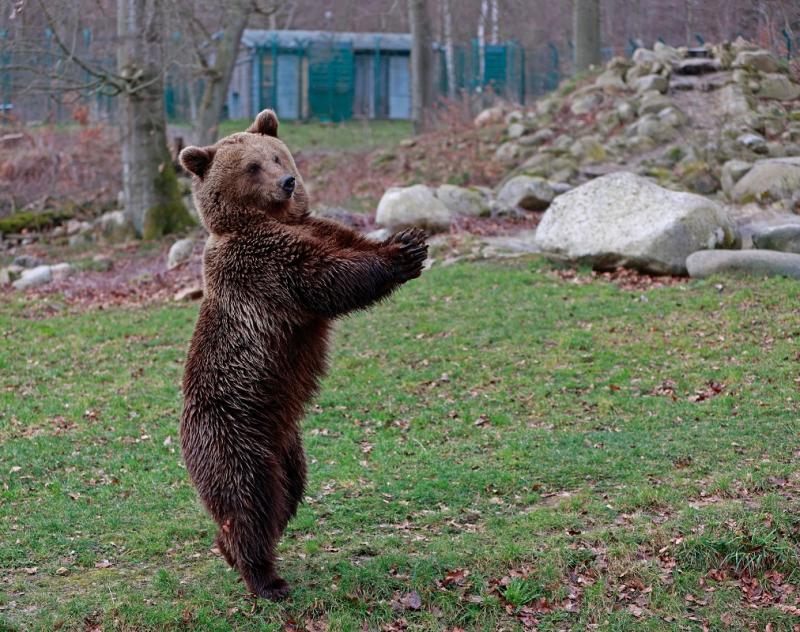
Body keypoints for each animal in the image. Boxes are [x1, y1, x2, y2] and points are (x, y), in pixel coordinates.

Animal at [175, 110, 424, 604]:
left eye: (277, 155)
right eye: (252, 167)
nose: (288, 182)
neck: (267, 220)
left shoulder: (315, 226)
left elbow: (348, 245)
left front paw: (409, 239)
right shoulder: (263, 266)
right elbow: (326, 279)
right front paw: (403, 254)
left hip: (287, 449)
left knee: (284, 498)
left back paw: (233, 553)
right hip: (235, 437)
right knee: (248, 504)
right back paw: (266, 579)